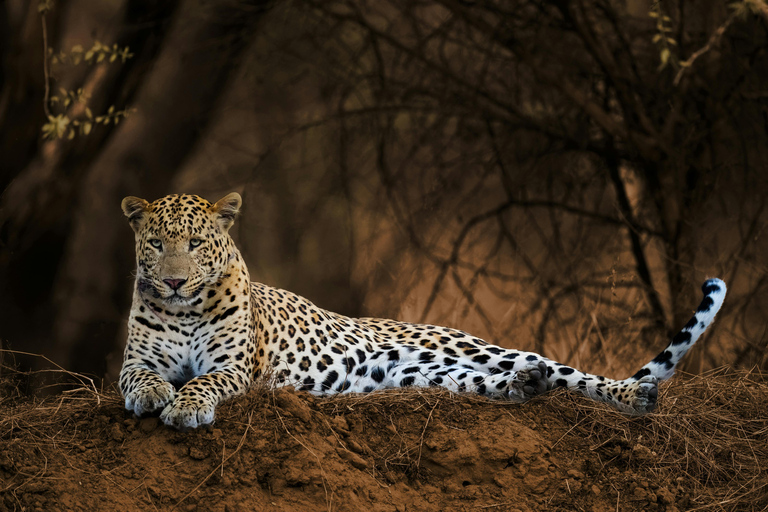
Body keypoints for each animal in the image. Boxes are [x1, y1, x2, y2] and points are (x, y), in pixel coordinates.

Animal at [118, 194, 728, 430]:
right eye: (157, 244)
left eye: (196, 244)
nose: (173, 280)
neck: (185, 311)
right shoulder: (135, 359)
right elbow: (142, 376)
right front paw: (153, 396)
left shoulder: (233, 366)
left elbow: (204, 381)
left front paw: (185, 406)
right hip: (418, 373)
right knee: (503, 381)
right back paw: (523, 386)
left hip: (471, 346)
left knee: (571, 372)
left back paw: (633, 396)